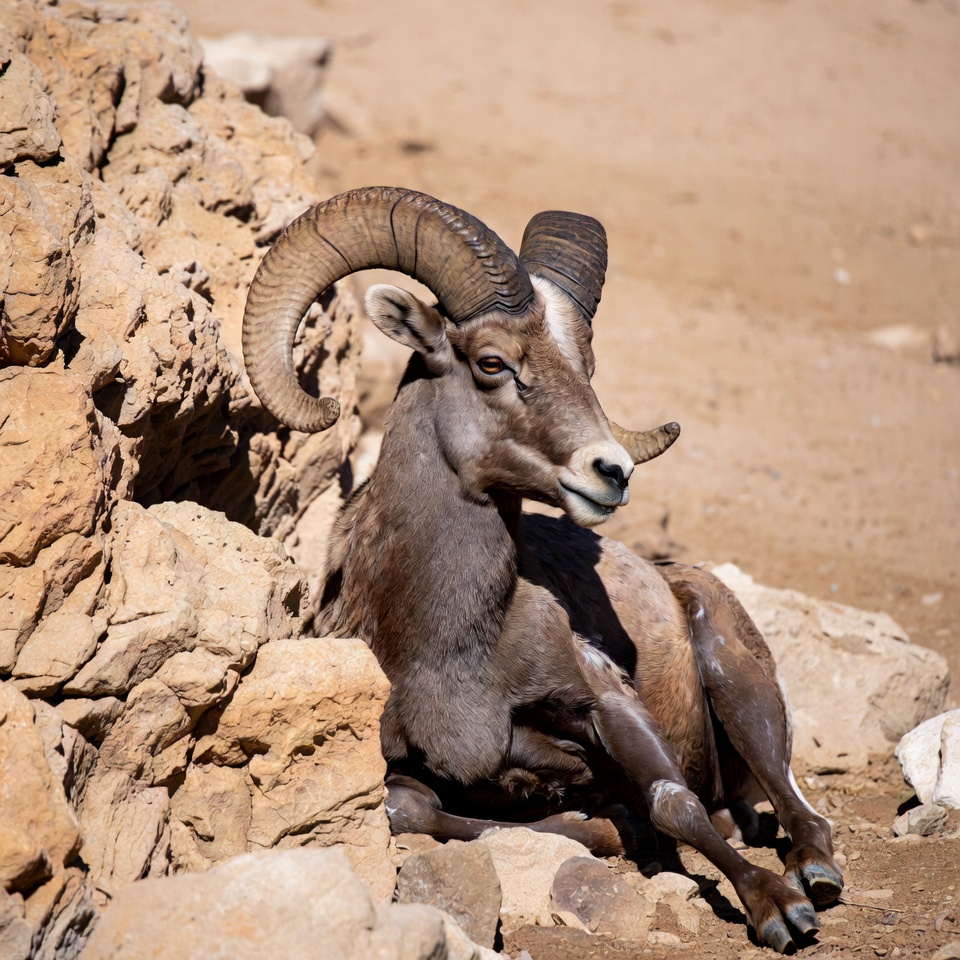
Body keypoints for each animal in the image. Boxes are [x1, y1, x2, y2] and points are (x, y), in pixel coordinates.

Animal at [242, 186, 844, 952]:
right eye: (492, 362)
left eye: (587, 368)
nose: (611, 472)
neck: (451, 649)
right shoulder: (406, 769)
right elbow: (416, 811)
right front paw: (598, 824)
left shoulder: (607, 702)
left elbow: (674, 802)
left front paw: (775, 908)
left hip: (740, 686)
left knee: (797, 808)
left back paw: (815, 877)